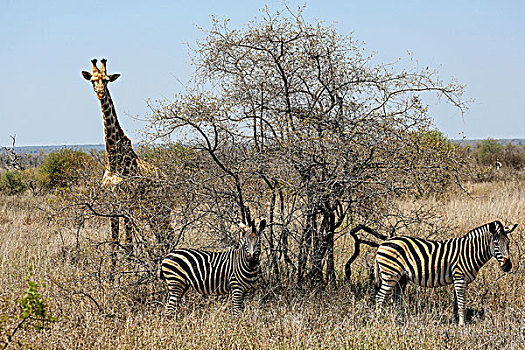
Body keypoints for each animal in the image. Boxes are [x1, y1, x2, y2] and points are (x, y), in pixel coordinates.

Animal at [81, 57, 170, 270]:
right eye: (93, 80)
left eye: (106, 80)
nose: (100, 93)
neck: (113, 160)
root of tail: (165, 177)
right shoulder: (112, 204)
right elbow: (114, 244)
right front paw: (111, 276)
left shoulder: (128, 203)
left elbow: (128, 244)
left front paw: (129, 274)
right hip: (150, 209)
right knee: (160, 236)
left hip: (162, 206)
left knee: (167, 235)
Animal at [374, 221, 516, 326]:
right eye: (496, 244)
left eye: (508, 243)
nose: (508, 266)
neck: (470, 252)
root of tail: (382, 244)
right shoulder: (459, 278)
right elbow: (461, 302)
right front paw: (462, 325)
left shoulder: (460, 280)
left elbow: (456, 303)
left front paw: (455, 322)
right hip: (390, 275)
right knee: (380, 297)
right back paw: (378, 322)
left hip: (401, 278)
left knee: (396, 299)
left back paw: (400, 321)